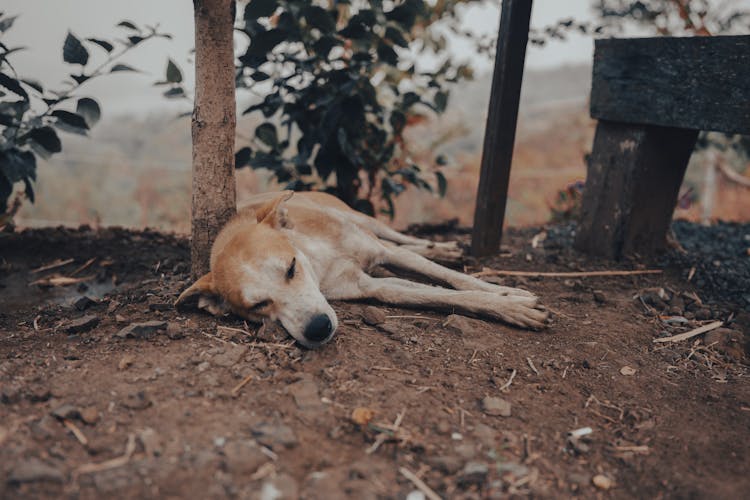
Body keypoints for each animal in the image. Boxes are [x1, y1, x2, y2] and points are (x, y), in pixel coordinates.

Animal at [178, 191, 548, 348]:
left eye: (291, 268)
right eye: (257, 306)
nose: (318, 329)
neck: (318, 258)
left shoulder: (379, 250)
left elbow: (448, 277)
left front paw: (508, 295)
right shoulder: (372, 287)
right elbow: (440, 294)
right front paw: (507, 304)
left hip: (363, 219)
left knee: (400, 239)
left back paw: (443, 247)